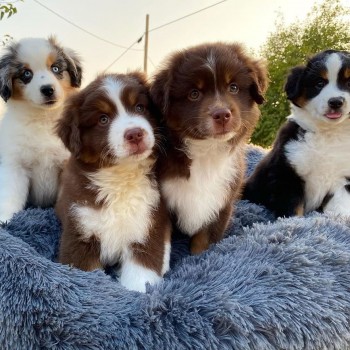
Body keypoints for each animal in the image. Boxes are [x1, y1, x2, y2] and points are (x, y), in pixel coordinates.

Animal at [0, 37, 82, 223]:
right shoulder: (15, 166)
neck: (44, 119)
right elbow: (9, 195)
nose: (48, 89)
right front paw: (5, 219)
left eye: (55, 68)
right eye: (26, 74)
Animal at [55, 72, 172, 292]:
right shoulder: (80, 230)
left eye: (139, 108)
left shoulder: (147, 225)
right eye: (103, 119)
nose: (135, 134)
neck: (120, 177)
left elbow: (140, 279)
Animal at [150, 42, 268, 254]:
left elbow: (203, 242)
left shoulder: (222, 203)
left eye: (233, 87)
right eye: (194, 94)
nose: (222, 114)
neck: (207, 150)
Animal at [242, 50, 350, 217]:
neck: (328, 133)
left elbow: (340, 203)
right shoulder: (287, 172)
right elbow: (293, 209)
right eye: (319, 83)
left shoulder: (344, 178)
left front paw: (340, 218)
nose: (336, 102)